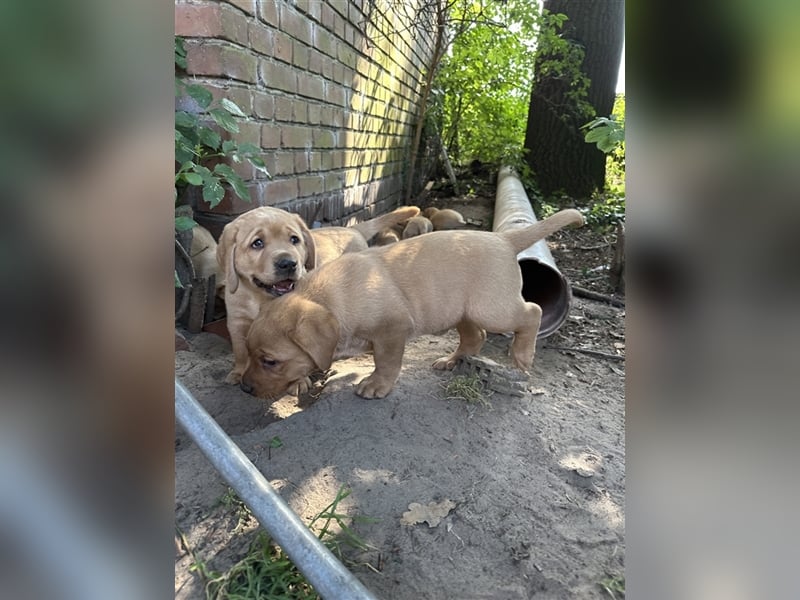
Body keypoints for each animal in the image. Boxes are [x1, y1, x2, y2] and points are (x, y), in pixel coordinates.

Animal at [217, 205, 418, 384]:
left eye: (294, 240)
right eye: (257, 243)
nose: (288, 263)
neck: (260, 296)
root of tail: (351, 228)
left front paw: (297, 382)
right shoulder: (236, 321)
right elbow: (240, 350)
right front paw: (238, 372)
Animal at [241, 209, 584, 400]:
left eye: (270, 361)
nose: (244, 389)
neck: (332, 299)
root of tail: (504, 239)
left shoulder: (392, 330)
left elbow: (386, 362)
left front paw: (377, 385)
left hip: (492, 307)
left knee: (531, 313)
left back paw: (522, 356)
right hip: (461, 310)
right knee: (476, 336)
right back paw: (452, 360)